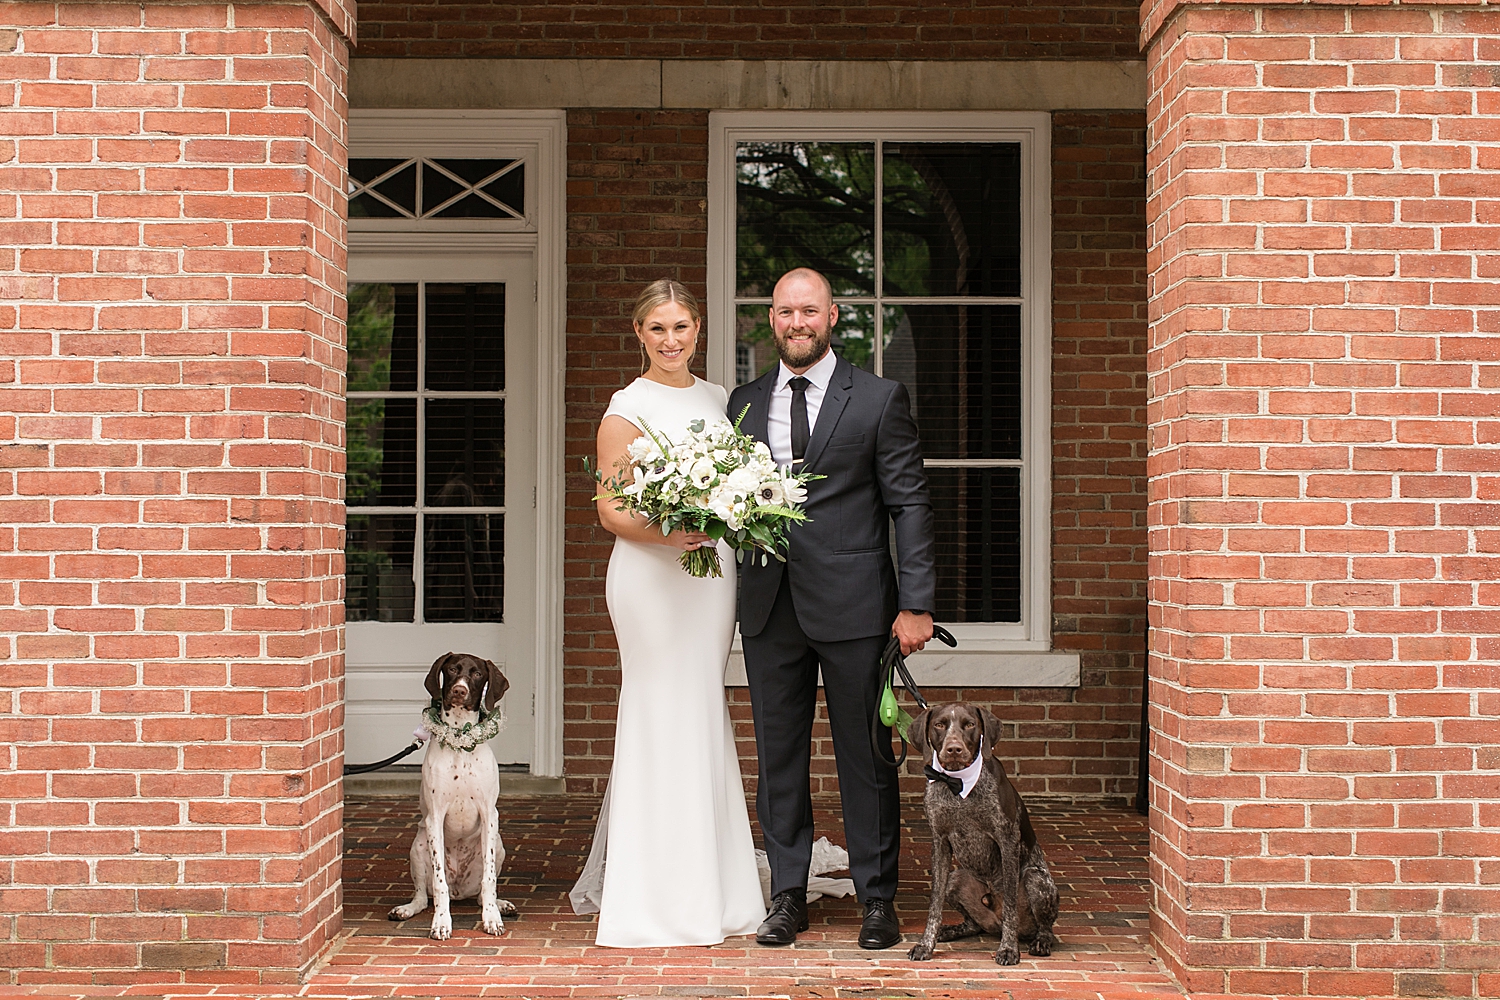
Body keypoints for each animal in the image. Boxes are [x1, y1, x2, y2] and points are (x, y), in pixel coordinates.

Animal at [387, 653, 516, 941]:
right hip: (418, 845)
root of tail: (460, 890)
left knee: (481, 894)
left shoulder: (489, 814)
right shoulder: (435, 817)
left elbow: (489, 879)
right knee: (424, 896)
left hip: (498, 843)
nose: (459, 690)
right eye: (453, 669)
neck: (459, 735)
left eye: (477, 674)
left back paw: (500, 904)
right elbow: (439, 883)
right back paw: (406, 909)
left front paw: (492, 918)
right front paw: (441, 923)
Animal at [900, 701, 1056, 965]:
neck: (957, 784)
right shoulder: (939, 841)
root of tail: (994, 924)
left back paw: (1040, 941)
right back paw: (950, 930)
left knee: (1045, 928)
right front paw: (926, 944)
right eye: (939, 724)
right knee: (974, 925)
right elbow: (934, 905)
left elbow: (1011, 905)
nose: (953, 749)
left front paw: (1009, 949)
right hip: (956, 879)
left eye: (970, 724)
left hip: (1037, 880)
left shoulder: (1007, 840)